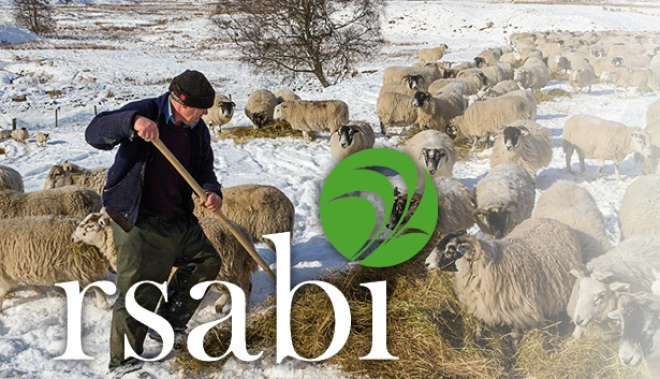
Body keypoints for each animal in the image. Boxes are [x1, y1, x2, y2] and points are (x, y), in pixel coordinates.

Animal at [71, 214, 258, 314]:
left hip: (226, 268)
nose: (72, 237)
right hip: (237, 267)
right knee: (246, 285)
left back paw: (233, 307)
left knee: (240, 288)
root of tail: (242, 234)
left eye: (89, 226)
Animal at [426, 215, 580, 334]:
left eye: (451, 248)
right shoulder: (480, 305)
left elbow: (514, 337)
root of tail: (553, 220)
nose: (427, 263)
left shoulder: (519, 313)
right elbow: (479, 328)